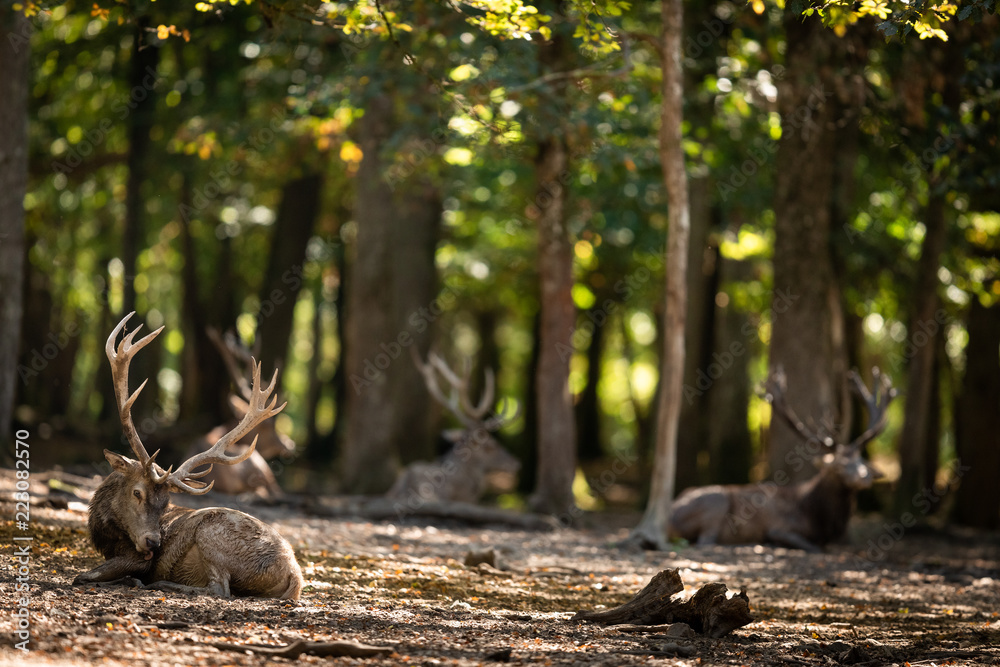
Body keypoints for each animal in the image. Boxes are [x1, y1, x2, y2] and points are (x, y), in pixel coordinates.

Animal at [668, 367, 895, 553]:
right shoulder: (780, 528)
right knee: (705, 541)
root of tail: (669, 513)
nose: (864, 478)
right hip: (716, 501)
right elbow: (815, 548)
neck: (819, 518)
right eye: (839, 465)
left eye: (861, 462)